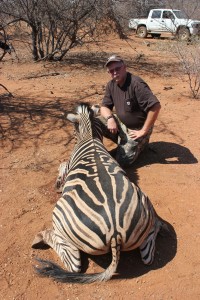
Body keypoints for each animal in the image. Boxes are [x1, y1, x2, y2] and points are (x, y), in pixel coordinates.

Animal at [32, 102, 165, 282]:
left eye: (73, 129)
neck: (90, 137)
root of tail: (116, 233)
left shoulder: (67, 167)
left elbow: (62, 165)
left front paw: (58, 182)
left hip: (59, 215)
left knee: (73, 263)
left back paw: (39, 237)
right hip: (145, 206)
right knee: (149, 252)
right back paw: (161, 227)